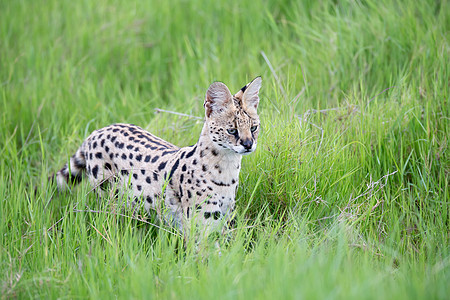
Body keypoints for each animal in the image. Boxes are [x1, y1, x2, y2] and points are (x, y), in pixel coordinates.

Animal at [52, 77, 262, 234]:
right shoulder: (200, 225)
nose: (248, 144)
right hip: (108, 198)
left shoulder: (224, 219)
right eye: (232, 130)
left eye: (253, 127)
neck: (227, 168)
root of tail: (98, 130)